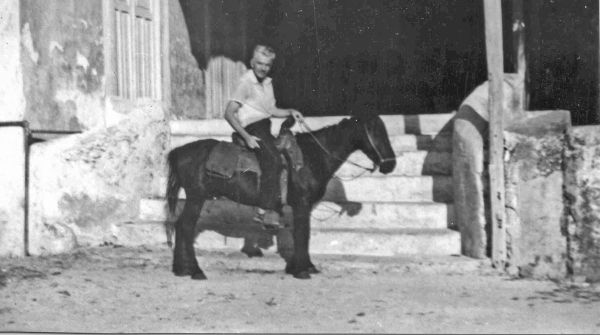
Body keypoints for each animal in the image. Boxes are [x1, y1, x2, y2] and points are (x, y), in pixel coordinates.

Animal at [166, 114, 396, 280]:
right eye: (375, 132)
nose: (390, 164)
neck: (311, 156)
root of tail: (180, 150)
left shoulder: (302, 206)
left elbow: (300, 234)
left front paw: (303, 266)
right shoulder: (302, 204)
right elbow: (303, 234)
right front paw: (302, 270)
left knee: (180, 226)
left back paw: (181, 269)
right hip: (196, 197)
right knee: (185, 227)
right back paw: (195, 271)